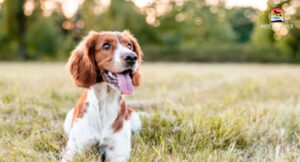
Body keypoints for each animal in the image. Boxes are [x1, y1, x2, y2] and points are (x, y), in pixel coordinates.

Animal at [61, 30, 143, 161]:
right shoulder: (74, 150)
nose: (131, 57)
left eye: (129, 45)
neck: (106, 102)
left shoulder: (118, 152)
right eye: (106, 45)